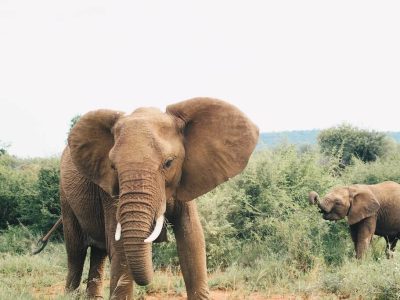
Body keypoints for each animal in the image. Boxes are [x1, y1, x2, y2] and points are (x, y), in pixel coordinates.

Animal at [59, 97, 260, 298]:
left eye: (168, 163)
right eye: (113, 167)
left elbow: (192, 239)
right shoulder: (109, 190)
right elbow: (119, 247)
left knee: (98, 251)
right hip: (65, 198)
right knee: (76, 252)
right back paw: (69, 294)